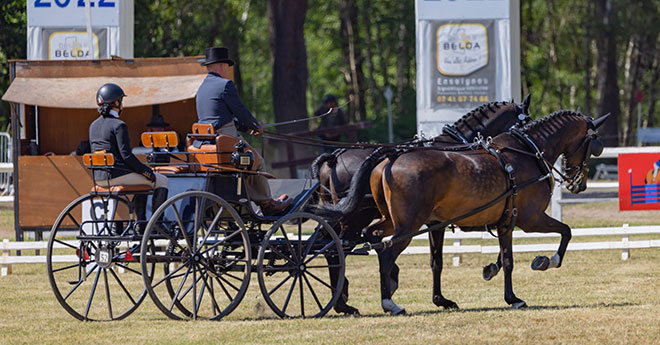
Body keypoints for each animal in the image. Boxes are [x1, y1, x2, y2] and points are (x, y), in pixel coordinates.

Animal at [310, 97, 532, 314]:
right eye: (526, 121)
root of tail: (334, 158)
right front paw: (492, 269)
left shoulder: (439, 221)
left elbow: (437, 261)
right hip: (356, 219)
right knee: (337, 248)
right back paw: (344, 300)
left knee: (330, 244)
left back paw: (344, 297)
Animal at [366, 111, 608, 314]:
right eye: (594, 146)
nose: (578, 185)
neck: (528, 153)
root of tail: (390, 160)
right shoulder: (529, 219)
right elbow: (558, 235)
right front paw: (535, 275)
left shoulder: (493, 222)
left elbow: (440, 262)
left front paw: (488, 272)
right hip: (408, 226)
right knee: (386, 254)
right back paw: (389, 303)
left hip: (393, 221)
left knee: (373, 236)